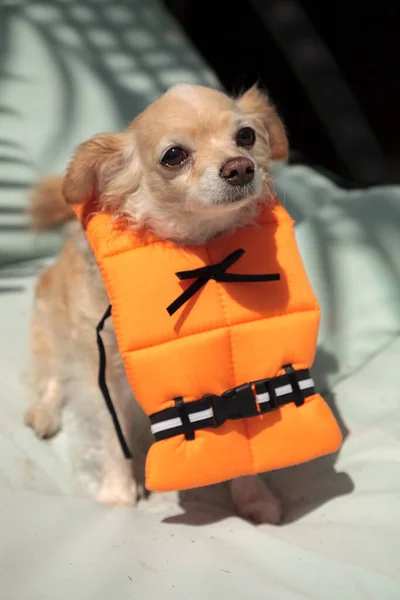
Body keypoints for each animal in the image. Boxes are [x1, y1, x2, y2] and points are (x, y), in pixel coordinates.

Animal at [25, 82, 288, 524]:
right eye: (174, 156)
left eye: (246, 136)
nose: (240, 167)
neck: (198, 248)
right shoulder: (104, 372)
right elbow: (112, 438)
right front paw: (119, 493)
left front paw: (252, 496)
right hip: (54, 328)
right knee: (53, 374)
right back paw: (44, 412)